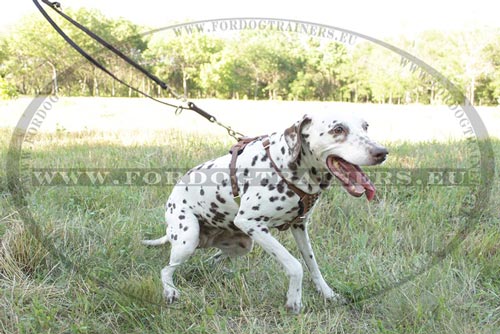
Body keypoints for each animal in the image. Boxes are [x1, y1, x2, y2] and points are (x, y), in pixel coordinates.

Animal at [143, 112, 388, 314]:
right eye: (338, 129)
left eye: (366, 126)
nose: (382, 152)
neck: (286, 165)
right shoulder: (251, 223)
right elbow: (295, 265)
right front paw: (294, 300)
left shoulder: (299, 227)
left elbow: (313, 265)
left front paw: (328, 294)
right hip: (188, 239)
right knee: (166, 270)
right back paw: (170, 291)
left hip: (243, 244)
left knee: (213, 258)